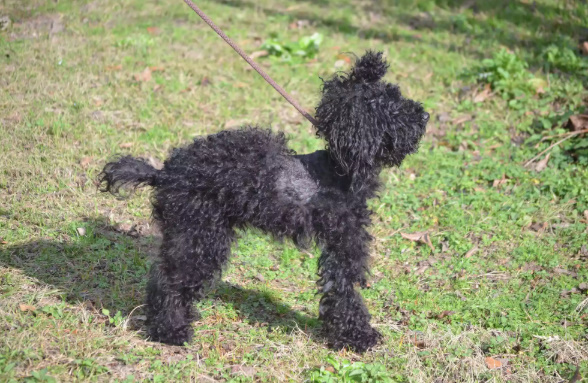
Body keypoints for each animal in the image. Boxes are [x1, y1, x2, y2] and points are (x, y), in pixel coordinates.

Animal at [101, 51, 430, 354]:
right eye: (393, 106)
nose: (425, 116)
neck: (339, 170)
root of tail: (164, 173)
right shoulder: (344, 244)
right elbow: (344, 290)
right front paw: (357, 337)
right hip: (198, 232)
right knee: (170, 280)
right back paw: (170, 331)